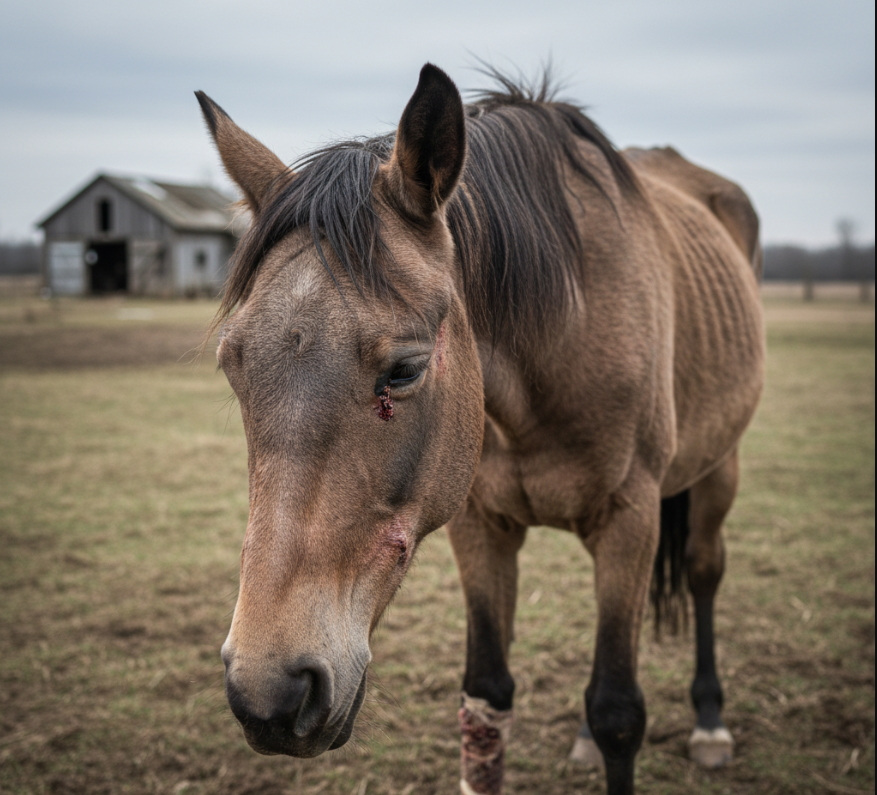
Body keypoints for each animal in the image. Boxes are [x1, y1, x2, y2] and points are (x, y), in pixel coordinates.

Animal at [196, 63, 764, 795]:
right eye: (232, 364)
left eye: (404, 370)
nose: (268, 693)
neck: (564, 326)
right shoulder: (479, 526)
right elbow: (486, 700)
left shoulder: (630, 516)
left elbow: (617, 709)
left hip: (718, 468)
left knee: (701, 572)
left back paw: (709, 721)